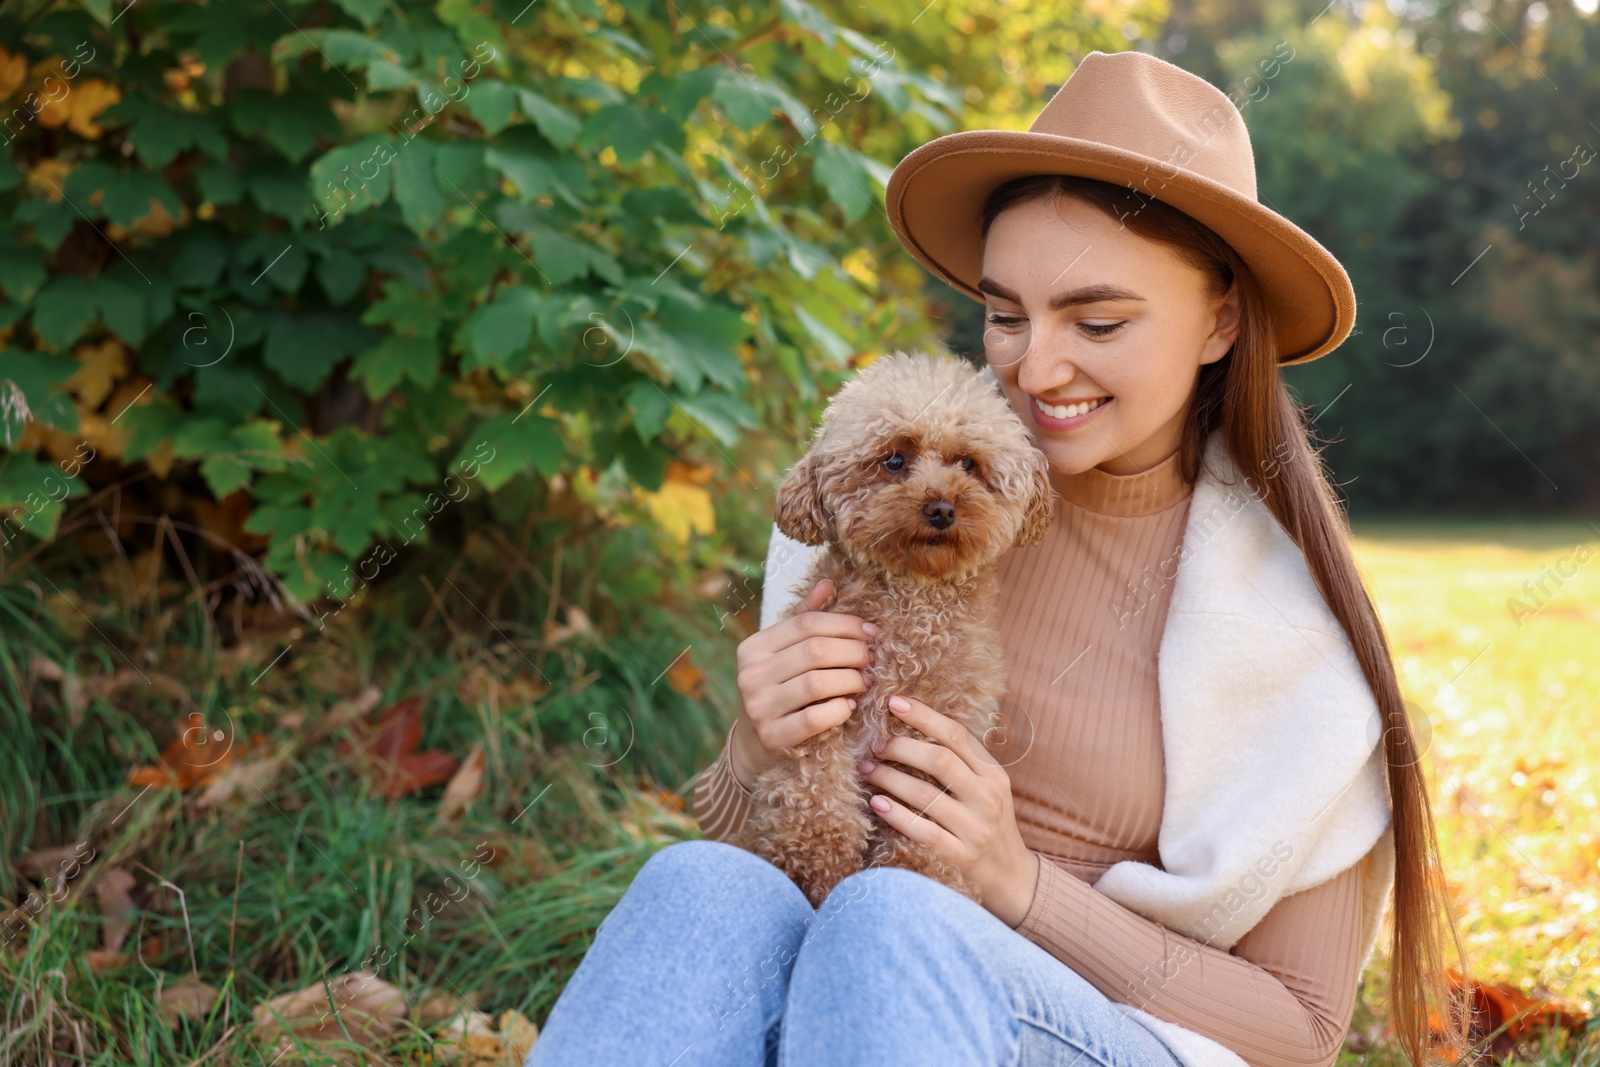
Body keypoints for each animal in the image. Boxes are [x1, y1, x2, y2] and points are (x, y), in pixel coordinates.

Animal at [736, 351, 1062, 908]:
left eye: (968, 464)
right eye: (894, 460)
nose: (941, 507)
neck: (912, 604)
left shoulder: (938, 739)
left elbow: (923, 826)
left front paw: (917, 875)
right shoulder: (820, 707)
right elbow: (815, 784)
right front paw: (814, 860)